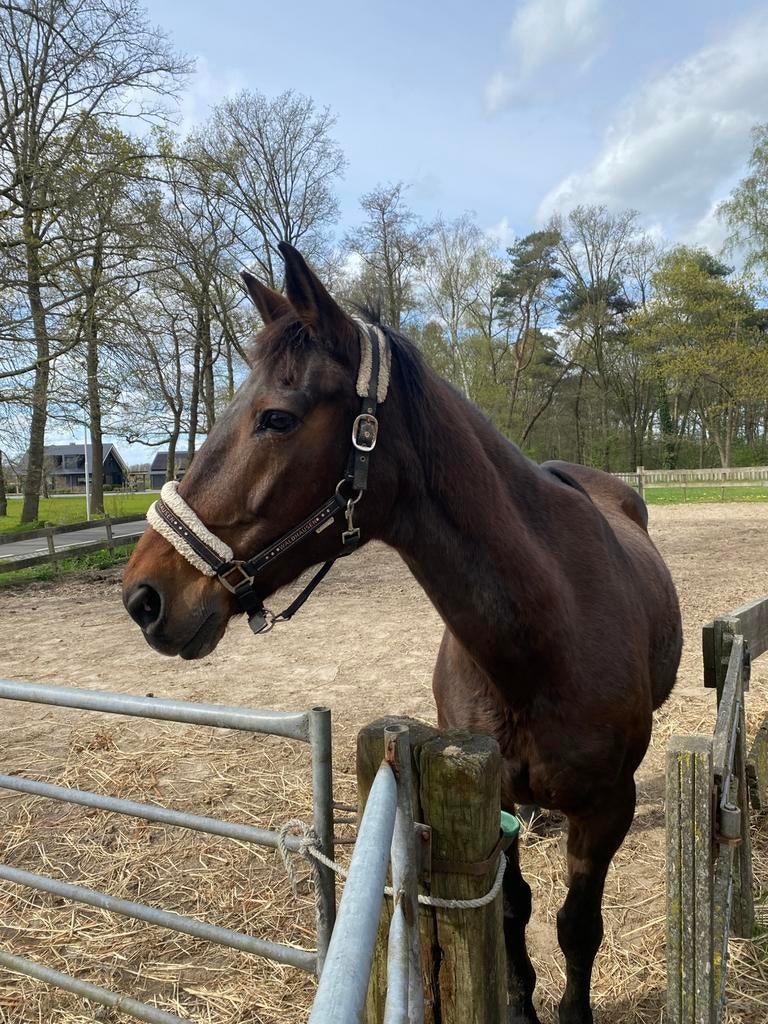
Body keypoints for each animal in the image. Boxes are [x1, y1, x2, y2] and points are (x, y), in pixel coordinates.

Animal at [122, 242, 682, 1024]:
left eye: (276, 418)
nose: (144, 596)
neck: (541, 641)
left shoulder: (608, 809)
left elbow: (578, 926)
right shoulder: (495, 800)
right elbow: (512, 909)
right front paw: (520, 1002)